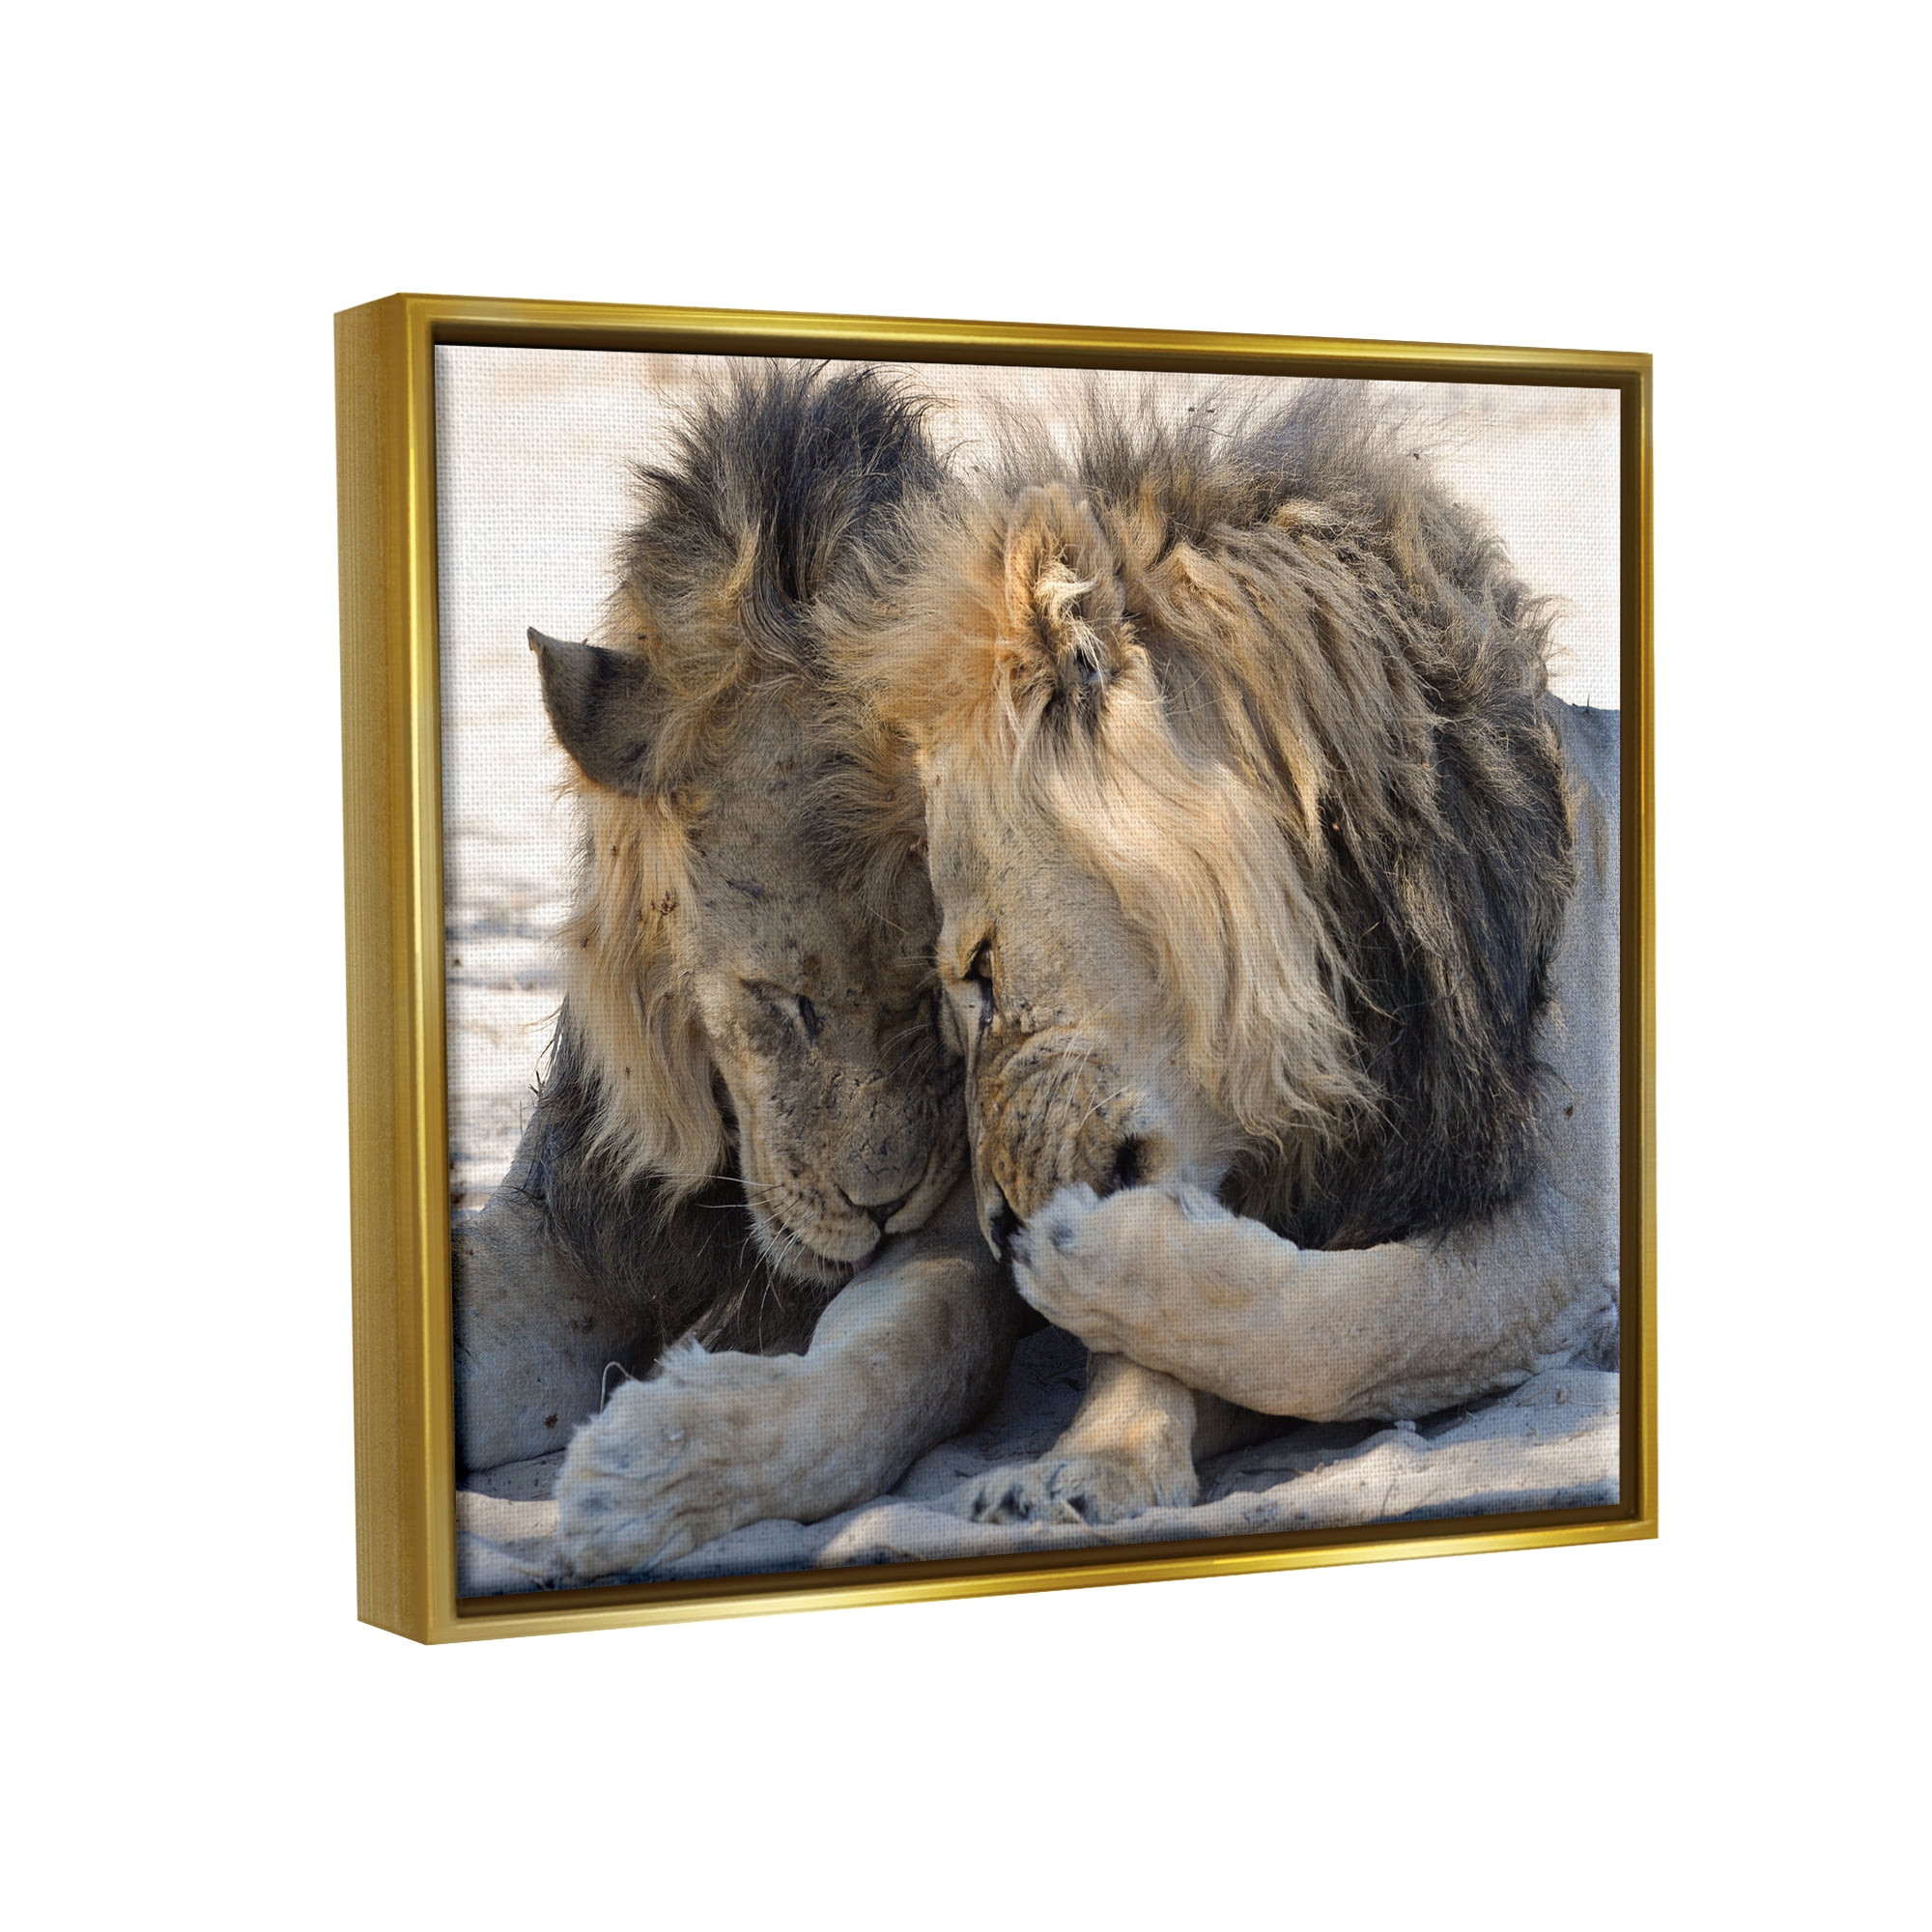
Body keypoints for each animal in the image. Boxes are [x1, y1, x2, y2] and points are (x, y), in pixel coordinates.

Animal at [452, 363, 1018, 1579]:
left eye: (935, 999)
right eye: (783, 1002)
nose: (880, 1207)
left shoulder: (957, 1236)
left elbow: (897, 1367)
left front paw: (656, 1469)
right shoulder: (568, 1222)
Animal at [832, 383, 1620, 1525]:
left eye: (980, 968)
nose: (995, 1228)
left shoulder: (1569, 1231)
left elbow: (1353, 1324)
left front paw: (1083, 1263)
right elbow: (1194, 1347)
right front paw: (1093, 1459)